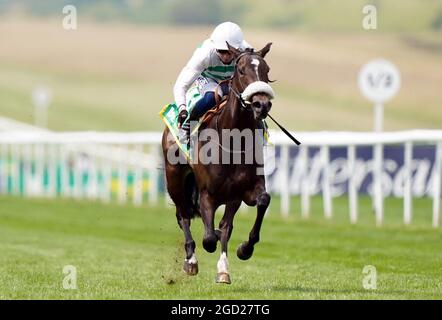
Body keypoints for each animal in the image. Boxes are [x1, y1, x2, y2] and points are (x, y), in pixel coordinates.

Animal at [161, 41, 272, 284]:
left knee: (221, 226)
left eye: (267, 70)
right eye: (241, 71)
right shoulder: (207, 194)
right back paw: (191, 261)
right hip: (174, 179)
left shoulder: (242, 192)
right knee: (184, 216)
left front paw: (243, 250)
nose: (262, 104)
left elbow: (260, 202)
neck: (233, 141)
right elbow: (209, 238)